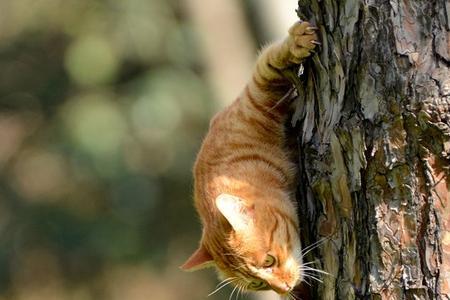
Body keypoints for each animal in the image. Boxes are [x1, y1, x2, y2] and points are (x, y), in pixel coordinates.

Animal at [181, 21, 318, 298]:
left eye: (269, 261)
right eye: (258, 284)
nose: (283, 287)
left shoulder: (253, 96)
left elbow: (271, 63)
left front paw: (295, 44)